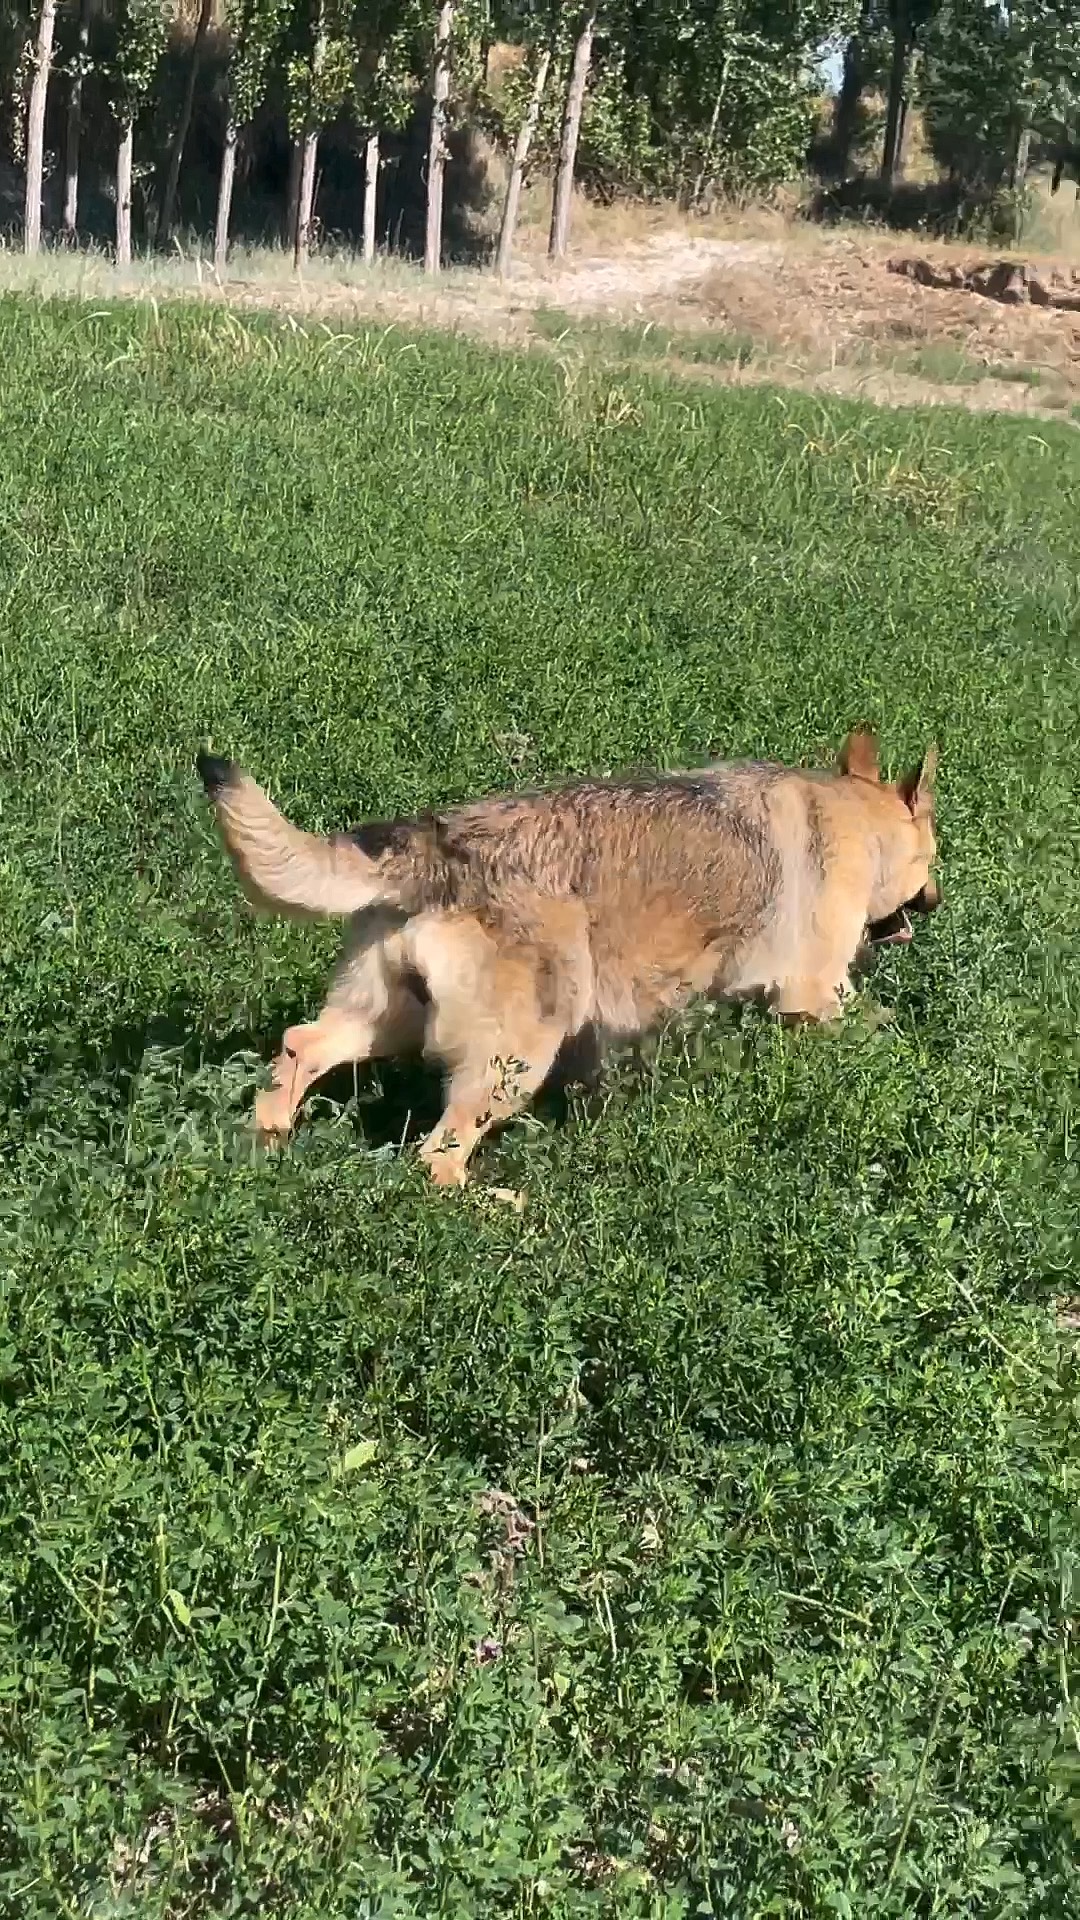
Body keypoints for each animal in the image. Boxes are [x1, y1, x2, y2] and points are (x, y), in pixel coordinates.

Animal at [197, 725, 937, 1182]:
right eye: (932, 860)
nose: (933, 901)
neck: (856, 817)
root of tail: (436, 843)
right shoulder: (817, 993)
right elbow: (878, 1025)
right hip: (513, 1061)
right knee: (435, 1161)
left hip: (387, 1021)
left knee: (301, 1045)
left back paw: (269, 1134)